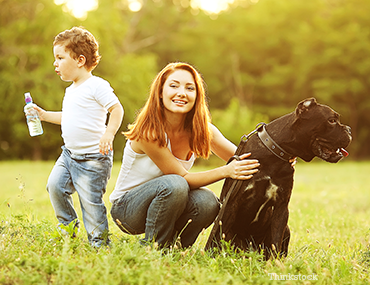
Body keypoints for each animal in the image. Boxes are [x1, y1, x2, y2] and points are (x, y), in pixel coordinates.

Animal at [205, 97, 352, 258]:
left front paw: (274, 263)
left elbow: (275, 240)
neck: (276, 155)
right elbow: (219, 235)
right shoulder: (232, 202)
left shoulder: (281, 207)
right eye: (331, 120)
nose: (349, 129)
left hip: (286, 229)